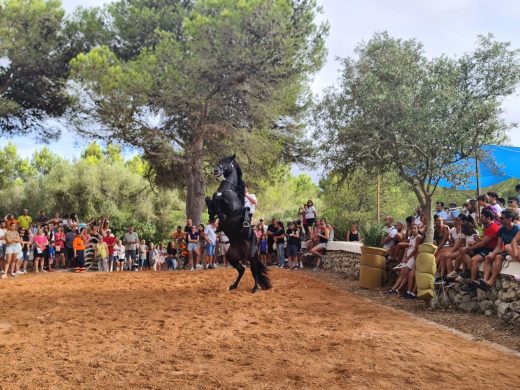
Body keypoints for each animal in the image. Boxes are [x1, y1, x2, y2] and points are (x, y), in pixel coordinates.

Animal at [205, 155, 272, 292]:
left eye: (227, 162)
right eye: (219, 161)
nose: (216, 171)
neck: (228, 189)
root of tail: (243, 254)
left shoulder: (233, 208)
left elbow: (221, 200)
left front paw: (220, 214)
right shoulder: (213, 202)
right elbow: (209, 199)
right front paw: (212, 217)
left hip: (252, 256)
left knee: (254, 271)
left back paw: (255, 288)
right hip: (231, 257)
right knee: (242, 270)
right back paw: (233, 286)